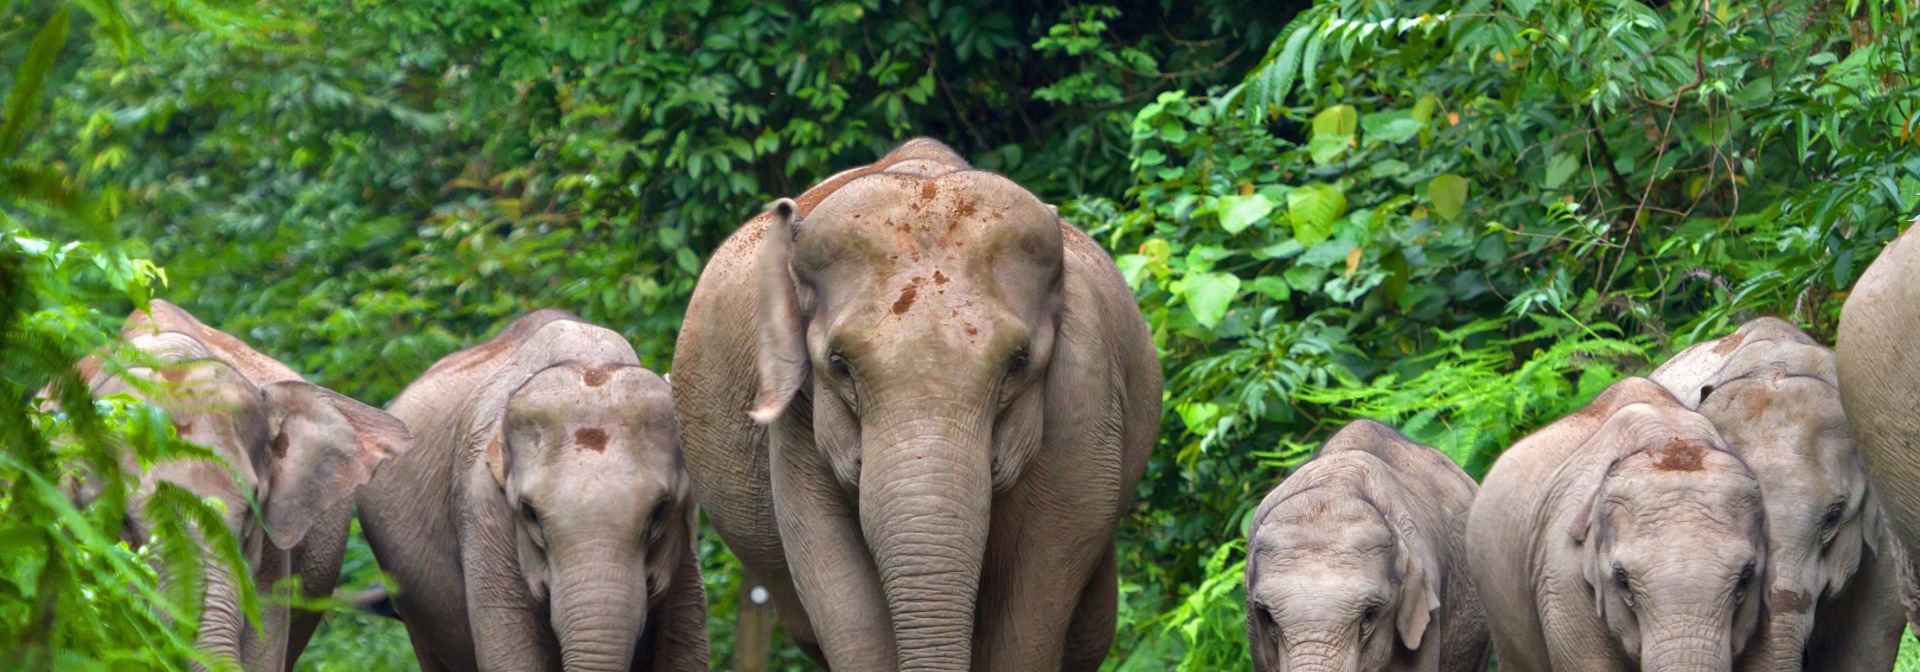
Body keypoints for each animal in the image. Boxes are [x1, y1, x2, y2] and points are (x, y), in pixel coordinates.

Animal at [357, 309, 710, 672]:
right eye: (529, 513)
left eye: (660, 511)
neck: (588, 359)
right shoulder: (481, 506)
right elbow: (511, 654)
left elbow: (685, 648)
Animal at [668, 133, 1159, 668]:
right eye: (839, 365)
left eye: (1017, 363)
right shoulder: (797, 418)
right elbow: (836, 581)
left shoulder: (1084, 389)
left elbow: (1042, 578)